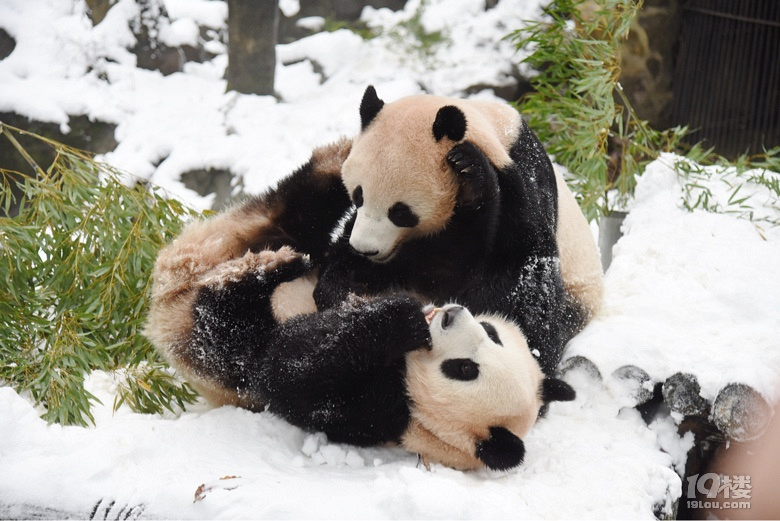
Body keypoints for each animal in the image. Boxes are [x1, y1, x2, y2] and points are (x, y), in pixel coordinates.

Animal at [314, 86, 608, 374]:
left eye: (400, 212)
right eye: (358, 196)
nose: (366, 249)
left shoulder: (521, 187)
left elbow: (526, 285)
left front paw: (469, 168)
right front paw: (346, 294)